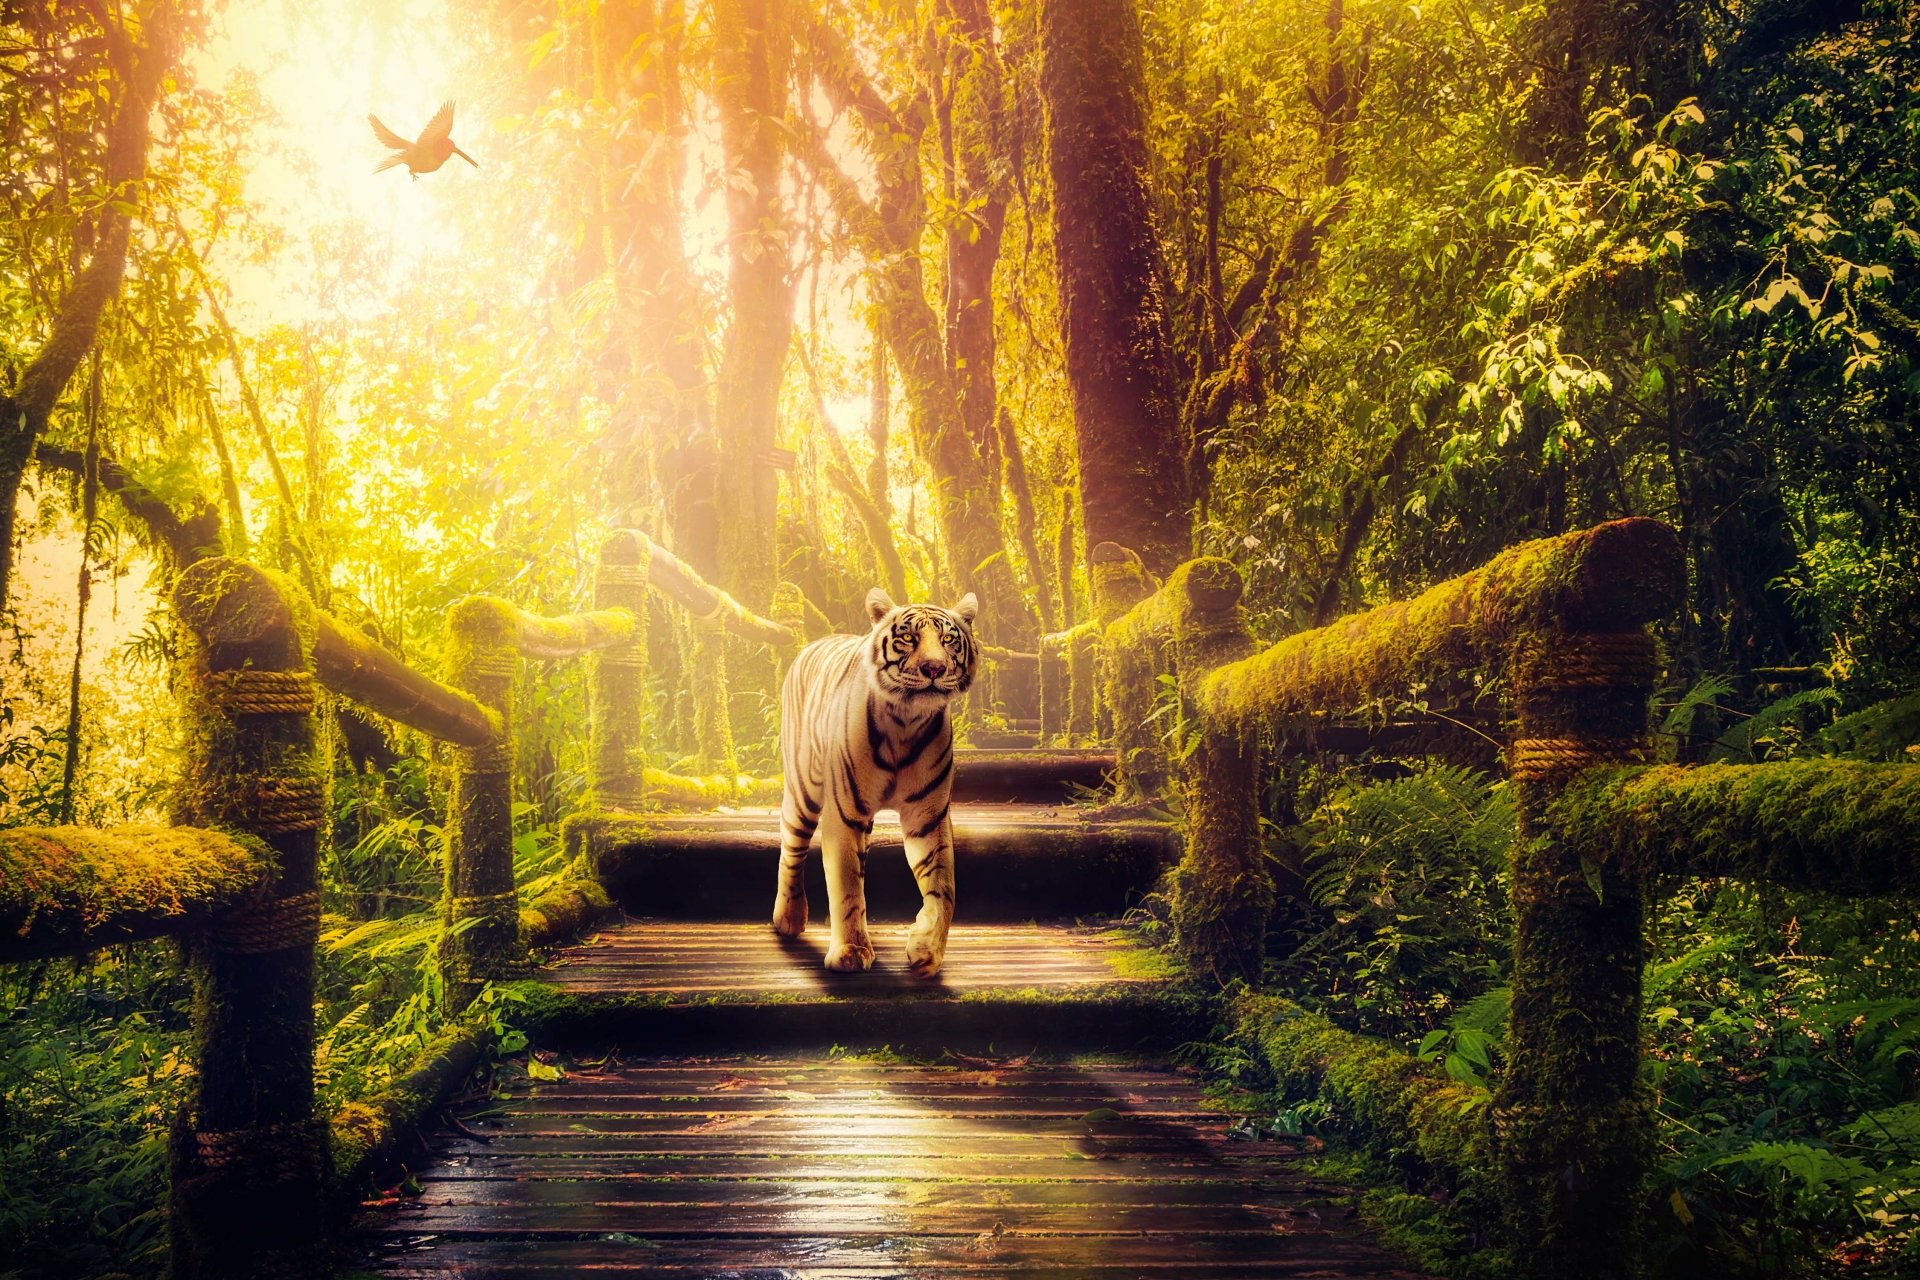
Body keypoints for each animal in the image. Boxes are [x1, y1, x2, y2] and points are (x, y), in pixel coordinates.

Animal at [772, 588, 979, 976]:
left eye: (947, 640)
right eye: (908, 638)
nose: (934, 669)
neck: (907, 721)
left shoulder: (929, 817)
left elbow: (944, 887)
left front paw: (927, 950)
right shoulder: (845, 813)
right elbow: (847, 884)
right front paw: (851, 952)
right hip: (803, 793)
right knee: (792, 849)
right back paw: (788, 918)